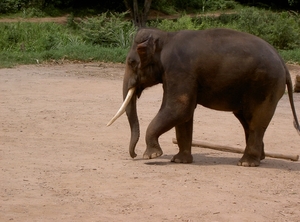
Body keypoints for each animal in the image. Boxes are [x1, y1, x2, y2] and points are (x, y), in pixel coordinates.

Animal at [108, 27, 300, 166]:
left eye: (132, 63)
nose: (134, 155)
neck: (166, 36)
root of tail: (283, 63)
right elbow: (184, 115)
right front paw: (179, 160)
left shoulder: (179, 70)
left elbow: (179, 107)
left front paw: (151, 156)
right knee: (247, 120)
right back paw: (259, 158)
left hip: (266, 86)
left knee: (256, 121)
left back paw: (246, 163)